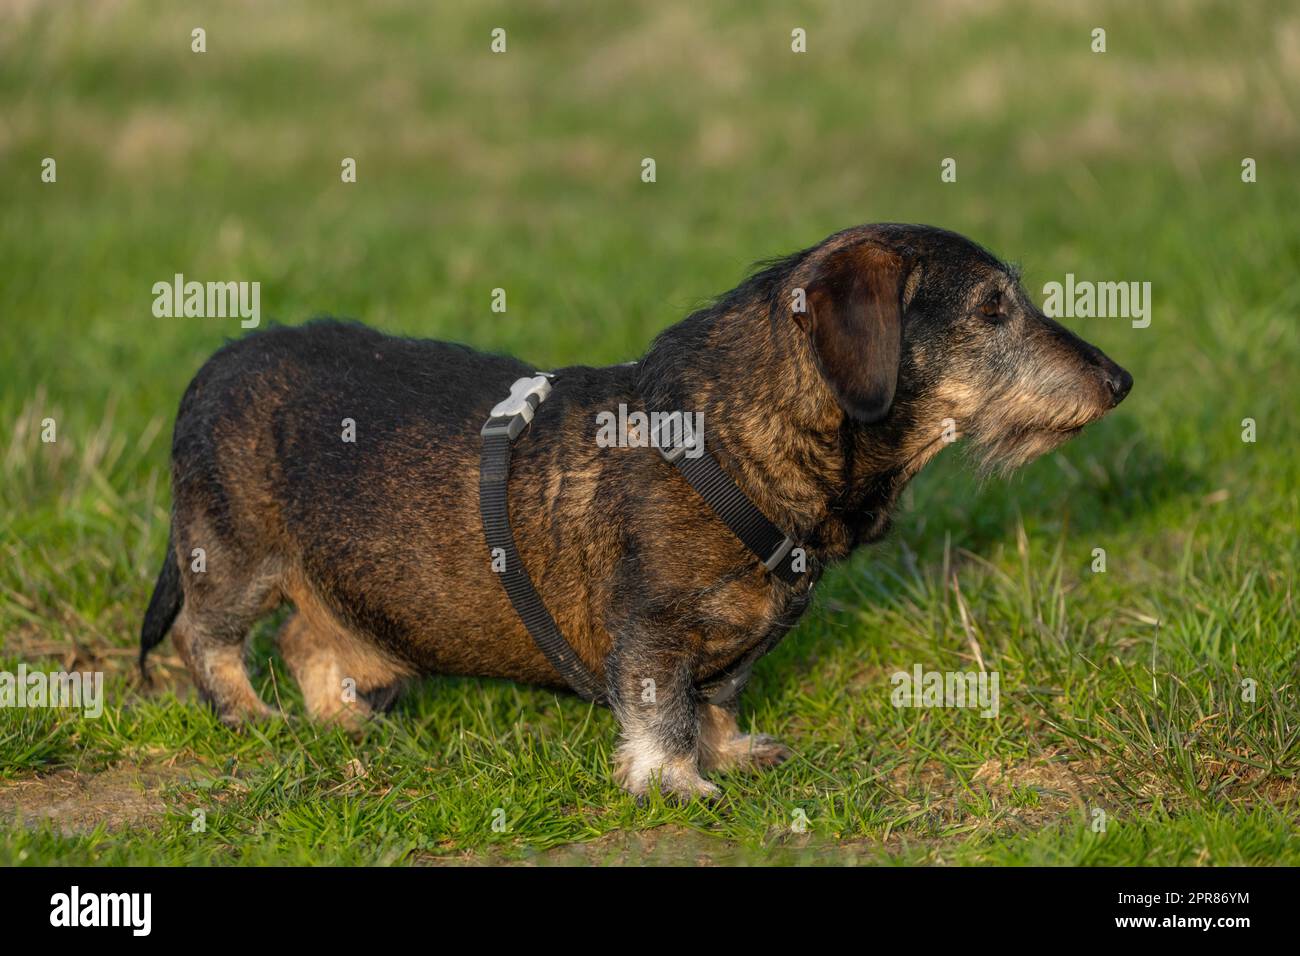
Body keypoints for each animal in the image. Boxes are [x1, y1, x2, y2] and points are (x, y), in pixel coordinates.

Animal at [139, 222, 1128, 801]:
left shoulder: (731, 647)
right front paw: (675, 783)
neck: (733, 444)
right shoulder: (649, 626)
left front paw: (729, 752)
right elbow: (662, 710)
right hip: (235, 558)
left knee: (307, 640)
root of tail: (213, 366)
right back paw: (251, 717)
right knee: (205, 637)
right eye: (994, 309)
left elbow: (715, 698)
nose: (1119, 381)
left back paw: (342, 719)